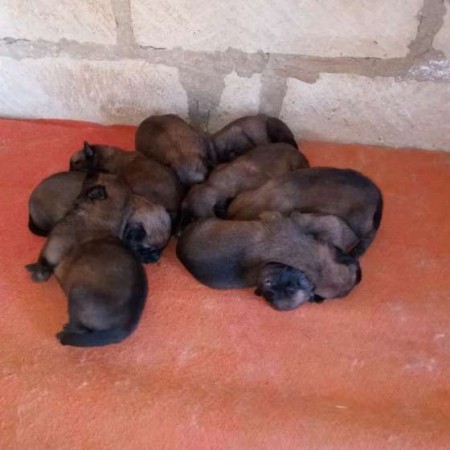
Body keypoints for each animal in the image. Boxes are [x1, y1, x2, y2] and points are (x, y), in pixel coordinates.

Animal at [26, 173, 148, 347]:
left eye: (96, 176)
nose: (90, 172)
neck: (99, 218)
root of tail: (124, 327)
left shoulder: (52, 247)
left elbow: (42, 260)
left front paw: (36, 271)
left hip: (76, 293)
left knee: (78, 327)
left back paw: (65, 331)